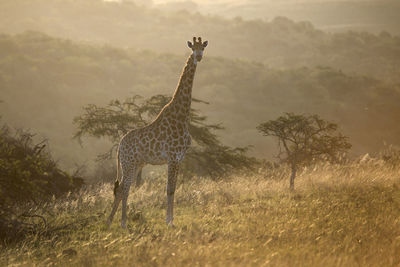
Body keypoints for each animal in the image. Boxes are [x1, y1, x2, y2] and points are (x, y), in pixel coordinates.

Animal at [107, 36, 209, 229]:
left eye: (203, 48)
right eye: (193, 48)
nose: (198, 57)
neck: (182, 115)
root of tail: (119, 146)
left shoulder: (179, 158)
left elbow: (174, 188)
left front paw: (171, 219)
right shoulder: (172, 157)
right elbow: (169, 189)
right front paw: (169, 221)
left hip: (136, 164)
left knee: (122, 187)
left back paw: (110, 222)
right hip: (129, 163)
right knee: (124, 188)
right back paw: (122, 222)